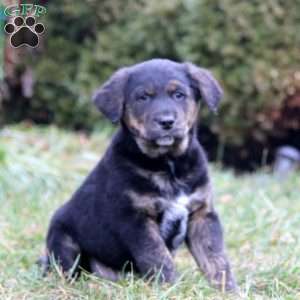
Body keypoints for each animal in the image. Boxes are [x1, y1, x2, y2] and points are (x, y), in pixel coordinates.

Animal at [40, 58, 237, 290]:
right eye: (143, 97)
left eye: (179, 95)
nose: (166, 122)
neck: (168, 164)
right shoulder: (135, 219)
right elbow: (158, 257)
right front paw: (169, 288)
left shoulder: (202, 214)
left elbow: (216, 258)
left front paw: (228, 290)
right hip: (62, 236)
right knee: (64, 268)